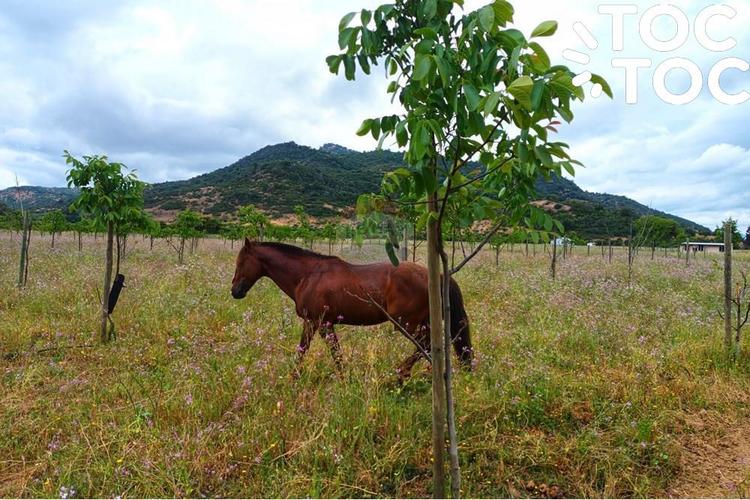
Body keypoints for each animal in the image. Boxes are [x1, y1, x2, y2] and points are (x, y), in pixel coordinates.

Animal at [232, 239, 472, 378]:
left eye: (240, 262)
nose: (235, 291)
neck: (308, 276)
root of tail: (436, 275)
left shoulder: (319, 323)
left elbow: (317, 352)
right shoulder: (319, 323)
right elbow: (320, 351)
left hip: (406, 323)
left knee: (427, 346)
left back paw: (401, 374)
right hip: (423, 322)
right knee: (431, 346)